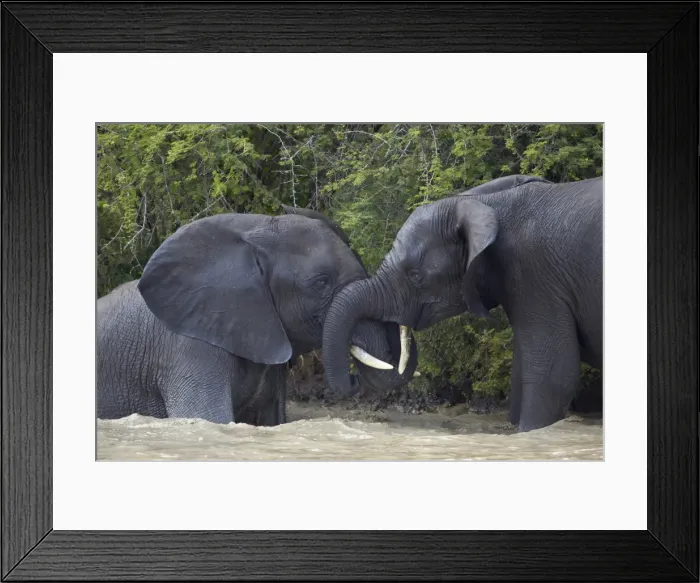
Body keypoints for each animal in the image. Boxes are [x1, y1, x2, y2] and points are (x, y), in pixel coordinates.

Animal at [322, 175, 602, 432]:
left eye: (416, 276)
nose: (354, 381)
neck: (484, 203)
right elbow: (523, 374)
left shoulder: (535, 275)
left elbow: (554, 375)